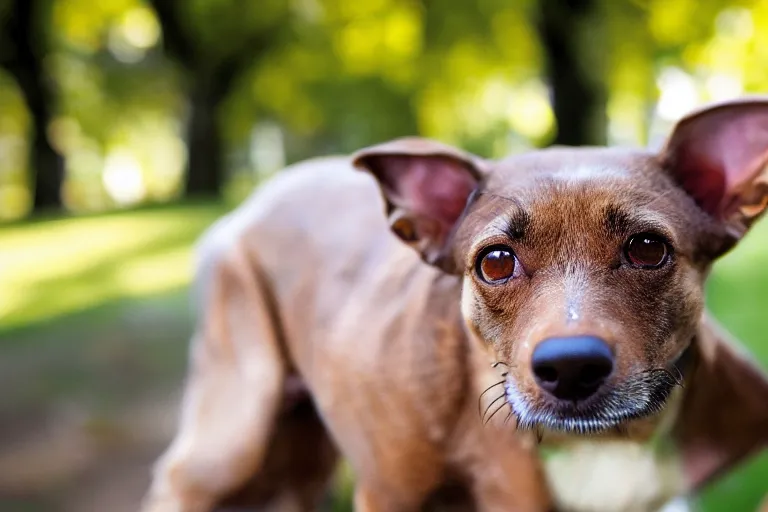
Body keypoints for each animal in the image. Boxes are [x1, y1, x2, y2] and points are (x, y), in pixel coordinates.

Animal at [141, 97, 768, 512]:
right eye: (495, 262)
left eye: (647, 249)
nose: (570, 367)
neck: (602, 445)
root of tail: (249, 205)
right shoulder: (388, 492)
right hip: (234, 433)